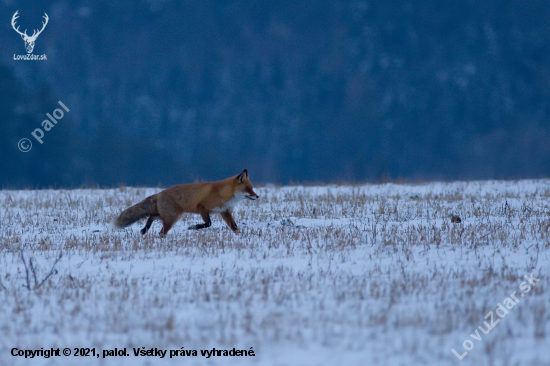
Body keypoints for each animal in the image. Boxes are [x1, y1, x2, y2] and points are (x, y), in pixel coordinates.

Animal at [112, 170, 260, 236]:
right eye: (248, 189)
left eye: (252, 188)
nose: (257, 196)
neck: (223, 194)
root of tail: (160, 193)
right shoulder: (202, 207)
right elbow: (208, 224)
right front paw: (193, 227)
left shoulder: (225, 212)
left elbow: (235, 227)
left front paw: (240, 237)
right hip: (172, 217)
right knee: (161, 231)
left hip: (170, 216)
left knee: (152, 216)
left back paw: (145, 229)